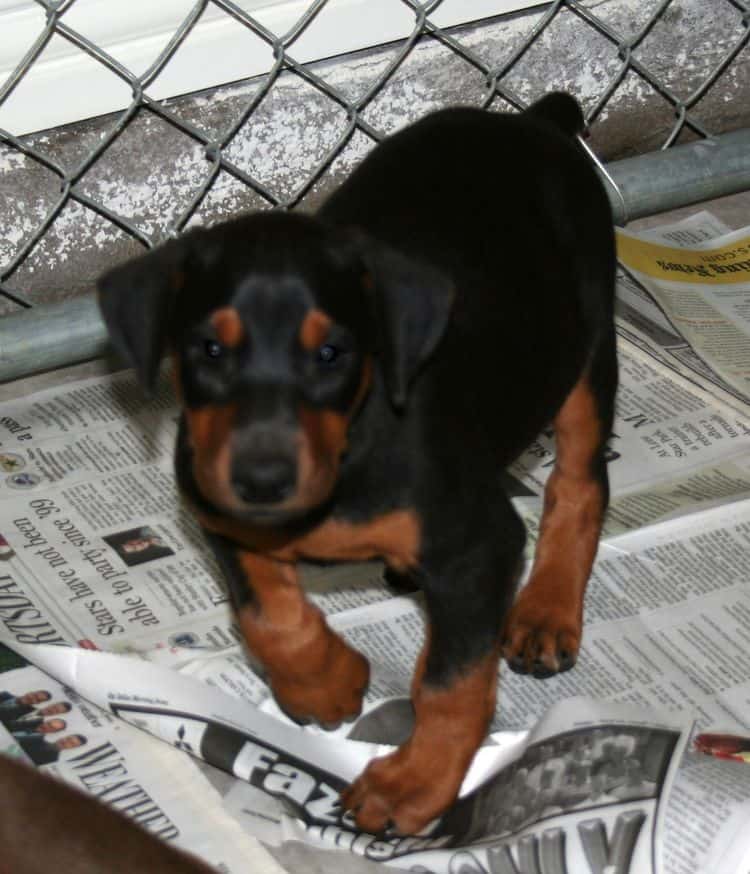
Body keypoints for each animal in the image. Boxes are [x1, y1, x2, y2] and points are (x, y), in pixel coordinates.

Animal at [98, 92, 616, 836]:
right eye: (209, 349)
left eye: (331, 354)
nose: (262, 481)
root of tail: (534, 121)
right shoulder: (218, 514)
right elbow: (265, 614)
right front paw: (323, 683)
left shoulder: (478, 545)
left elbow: (454, 684)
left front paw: (416, 782)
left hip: (586, 343)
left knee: (580, 480)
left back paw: (545, 610)